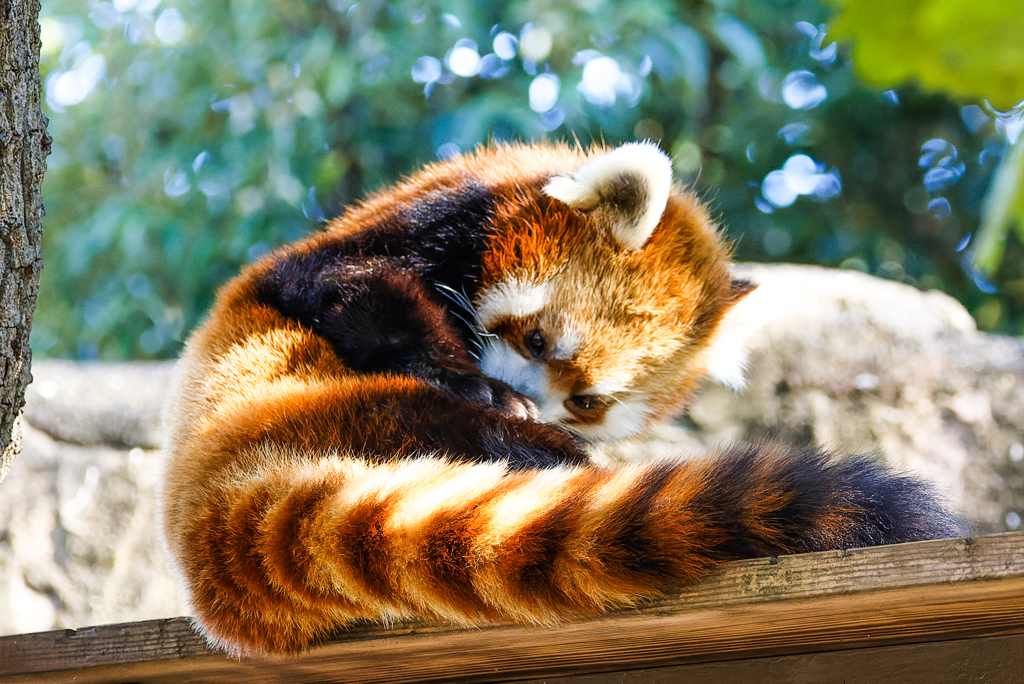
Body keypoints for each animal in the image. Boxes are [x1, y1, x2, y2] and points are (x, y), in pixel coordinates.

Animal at [159, 140, 958, 655]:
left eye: (587, 400)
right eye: (537, 339)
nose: (526, 398)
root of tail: (204, 488)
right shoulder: (418, 222)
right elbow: (339, 283)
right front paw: (473, 382)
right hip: (317, 398)